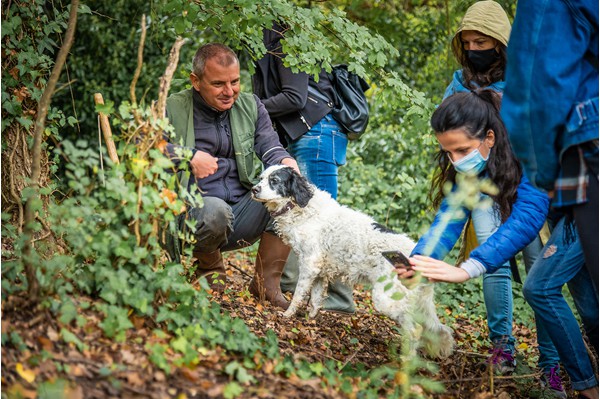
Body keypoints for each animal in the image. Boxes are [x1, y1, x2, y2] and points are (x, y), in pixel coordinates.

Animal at [251, 166, 452, 360]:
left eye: (274, 180)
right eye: (261, 178)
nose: (254, 189)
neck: (302, 209)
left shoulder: (309, 264)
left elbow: (298, 296)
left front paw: (287, 315)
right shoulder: (320, 272)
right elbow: (315, 302)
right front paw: (310, 324)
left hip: (386, 299)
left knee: (415, 330)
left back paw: (405, 361)